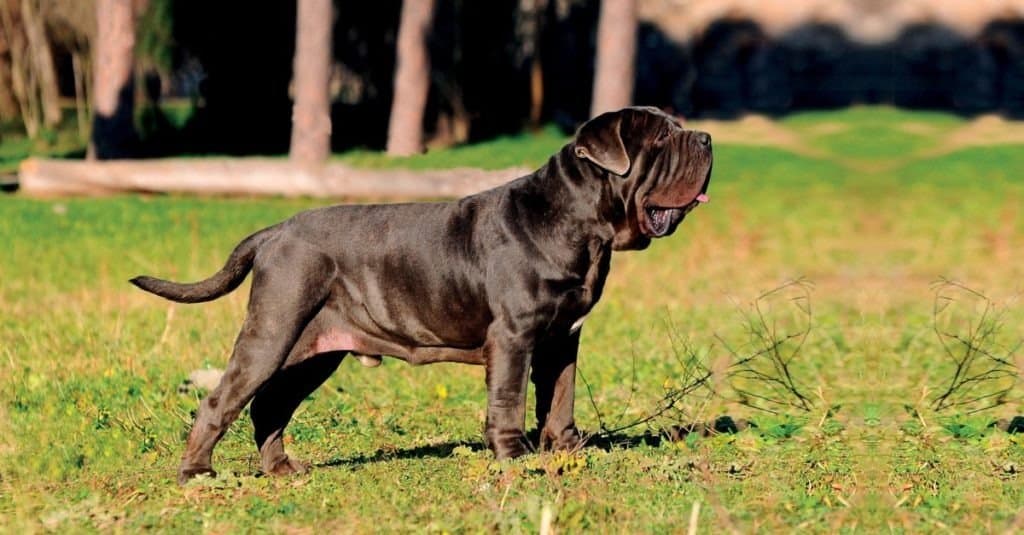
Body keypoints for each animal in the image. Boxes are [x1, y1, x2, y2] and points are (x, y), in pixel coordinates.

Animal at [132, 106, 712, 481]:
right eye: (661, 141)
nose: (706, 137)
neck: (580, 222)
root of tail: (275, 231)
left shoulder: (562, 338)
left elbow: (561, 397)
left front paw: (569, 449)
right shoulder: (514, 337)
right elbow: (510, 399)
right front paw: (515, 458)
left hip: (311, 352)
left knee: (269, 406)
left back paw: (282, 469)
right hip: (271, 334)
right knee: (220, 401)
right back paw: (197, 473)